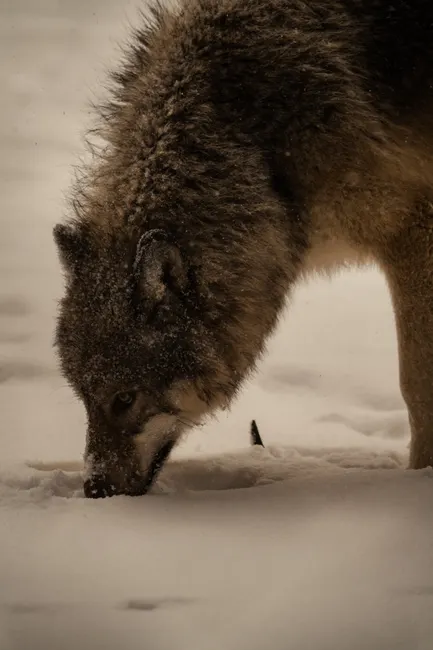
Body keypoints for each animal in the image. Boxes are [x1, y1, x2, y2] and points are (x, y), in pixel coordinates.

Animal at [54, 0, 433, 497]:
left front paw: (420, 478)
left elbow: (416, 385)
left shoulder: (412, 228)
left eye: (124, 398)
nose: (94, 489)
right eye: (82, 396)